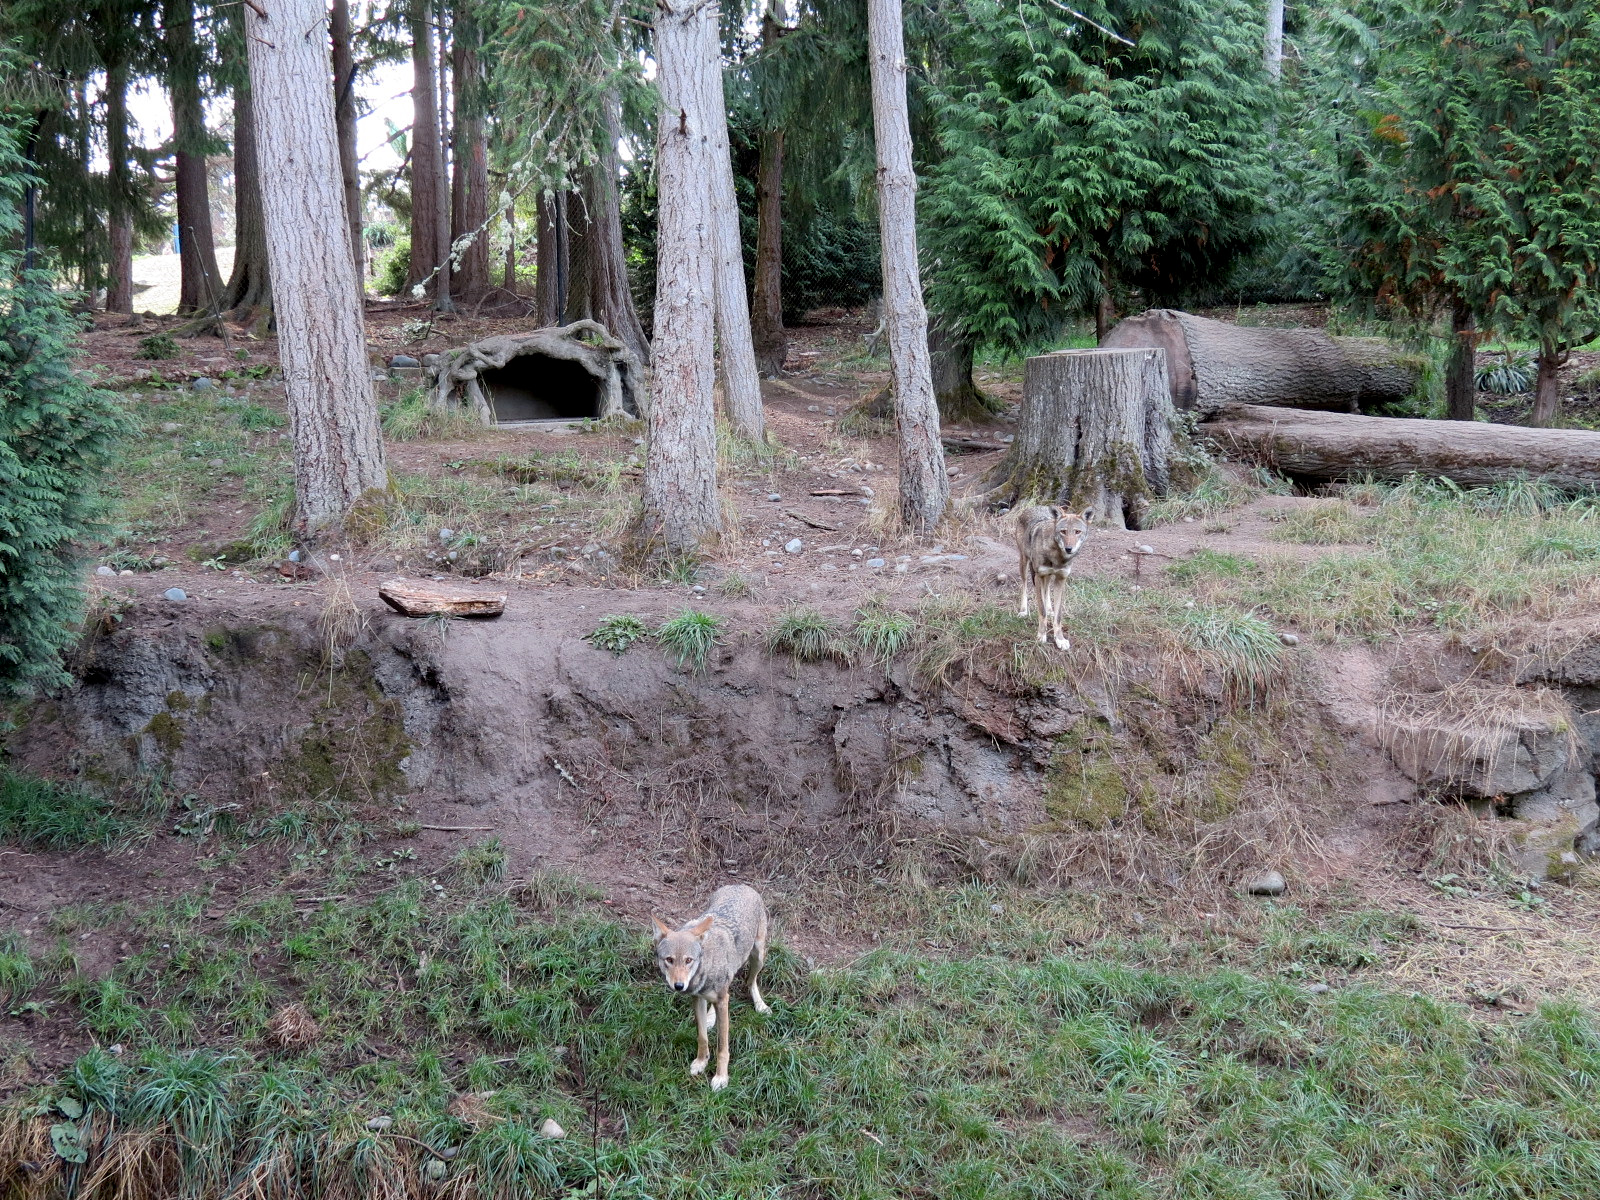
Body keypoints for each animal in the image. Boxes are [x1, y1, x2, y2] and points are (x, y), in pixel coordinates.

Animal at [652, 884, 771, 1090]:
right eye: (669, 960)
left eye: (688, 960)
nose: (679, 985)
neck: (706, 963)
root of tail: (741, 885)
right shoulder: (697, 998)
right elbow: (702, 1037)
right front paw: (701, 1062)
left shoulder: (722, 1000)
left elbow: (722, 1047)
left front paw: (721, 1077)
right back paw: (711, 1017)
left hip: (758, 957)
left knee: (751, 981)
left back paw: (760, 1005)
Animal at [1015, 504, 1093, 650]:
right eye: (1063, 531)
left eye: (1077, 532)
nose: (1069, 549)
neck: (1057, 557)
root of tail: (1034, 506)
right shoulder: (1038, 576)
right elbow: (1042, 611)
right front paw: (1041, 635)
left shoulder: (1061, 579)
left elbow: (1058, 616)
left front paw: (1060, 639)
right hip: (1024, 563)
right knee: (1024, 585)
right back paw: (1023, 611)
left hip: (1048, 576)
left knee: (1046, 592)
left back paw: (1050, 608)